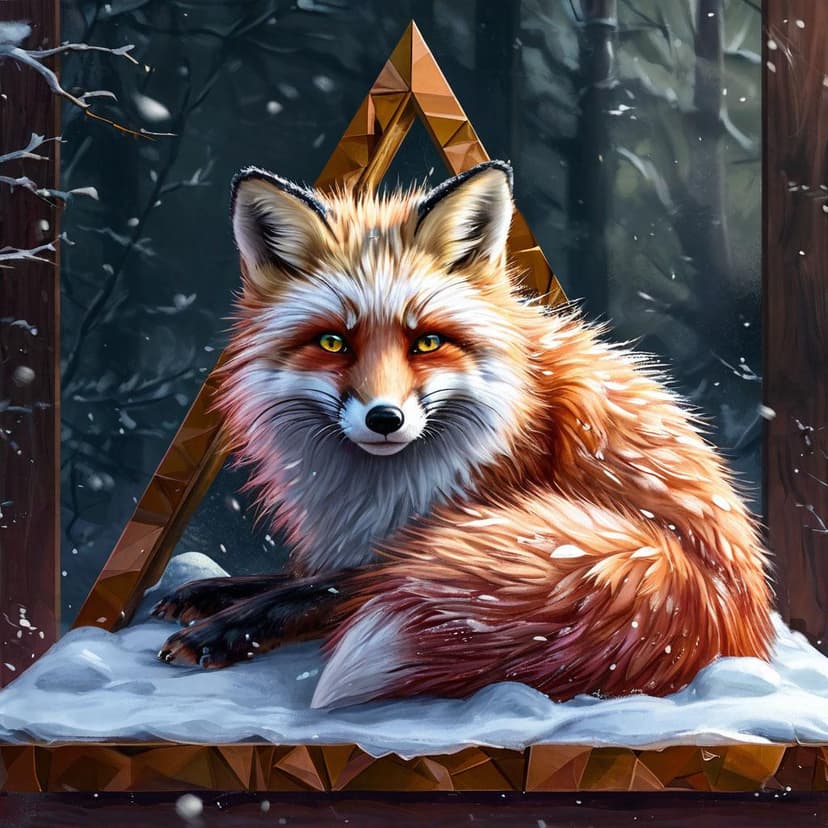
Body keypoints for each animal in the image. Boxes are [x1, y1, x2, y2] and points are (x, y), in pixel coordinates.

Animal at [153, 160, 774, 709]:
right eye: (333, 343)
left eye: (427, 342)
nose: (384, 419)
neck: (377, 488)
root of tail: (742, 609)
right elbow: (293, 576)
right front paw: (206, 594)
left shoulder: (421, 546)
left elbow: (316, 589)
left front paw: (223, 629)